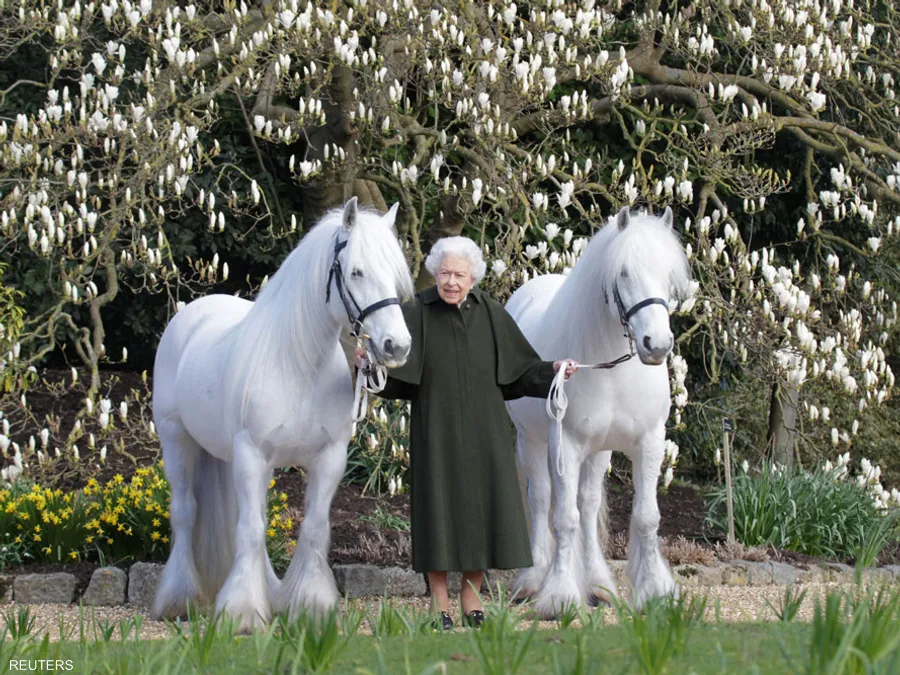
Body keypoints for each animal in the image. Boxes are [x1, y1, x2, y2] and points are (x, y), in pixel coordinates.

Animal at [150, 198, 412, 632]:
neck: (298, 364)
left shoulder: (328, 459)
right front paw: (241, 613)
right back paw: (179, 599)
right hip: (178, 441)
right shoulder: (252, 454)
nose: (397, 346)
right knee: (186, 513)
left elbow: (312, 528)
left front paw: (310, 605)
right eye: (357, 271)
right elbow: (251, 530)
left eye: (394, 275)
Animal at [506, 206, 688, 616]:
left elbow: (645, 517)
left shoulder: (649, 442)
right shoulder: (567, 445)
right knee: (541, 500)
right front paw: (559, 596)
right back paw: (533, 579)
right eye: (624, 273)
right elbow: (564, 518)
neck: (611, 368)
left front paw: (655, 590)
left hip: (598, 451)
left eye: (668, 274)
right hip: (532, 442)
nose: (657, 344)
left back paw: (598, 585)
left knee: (588, 506)